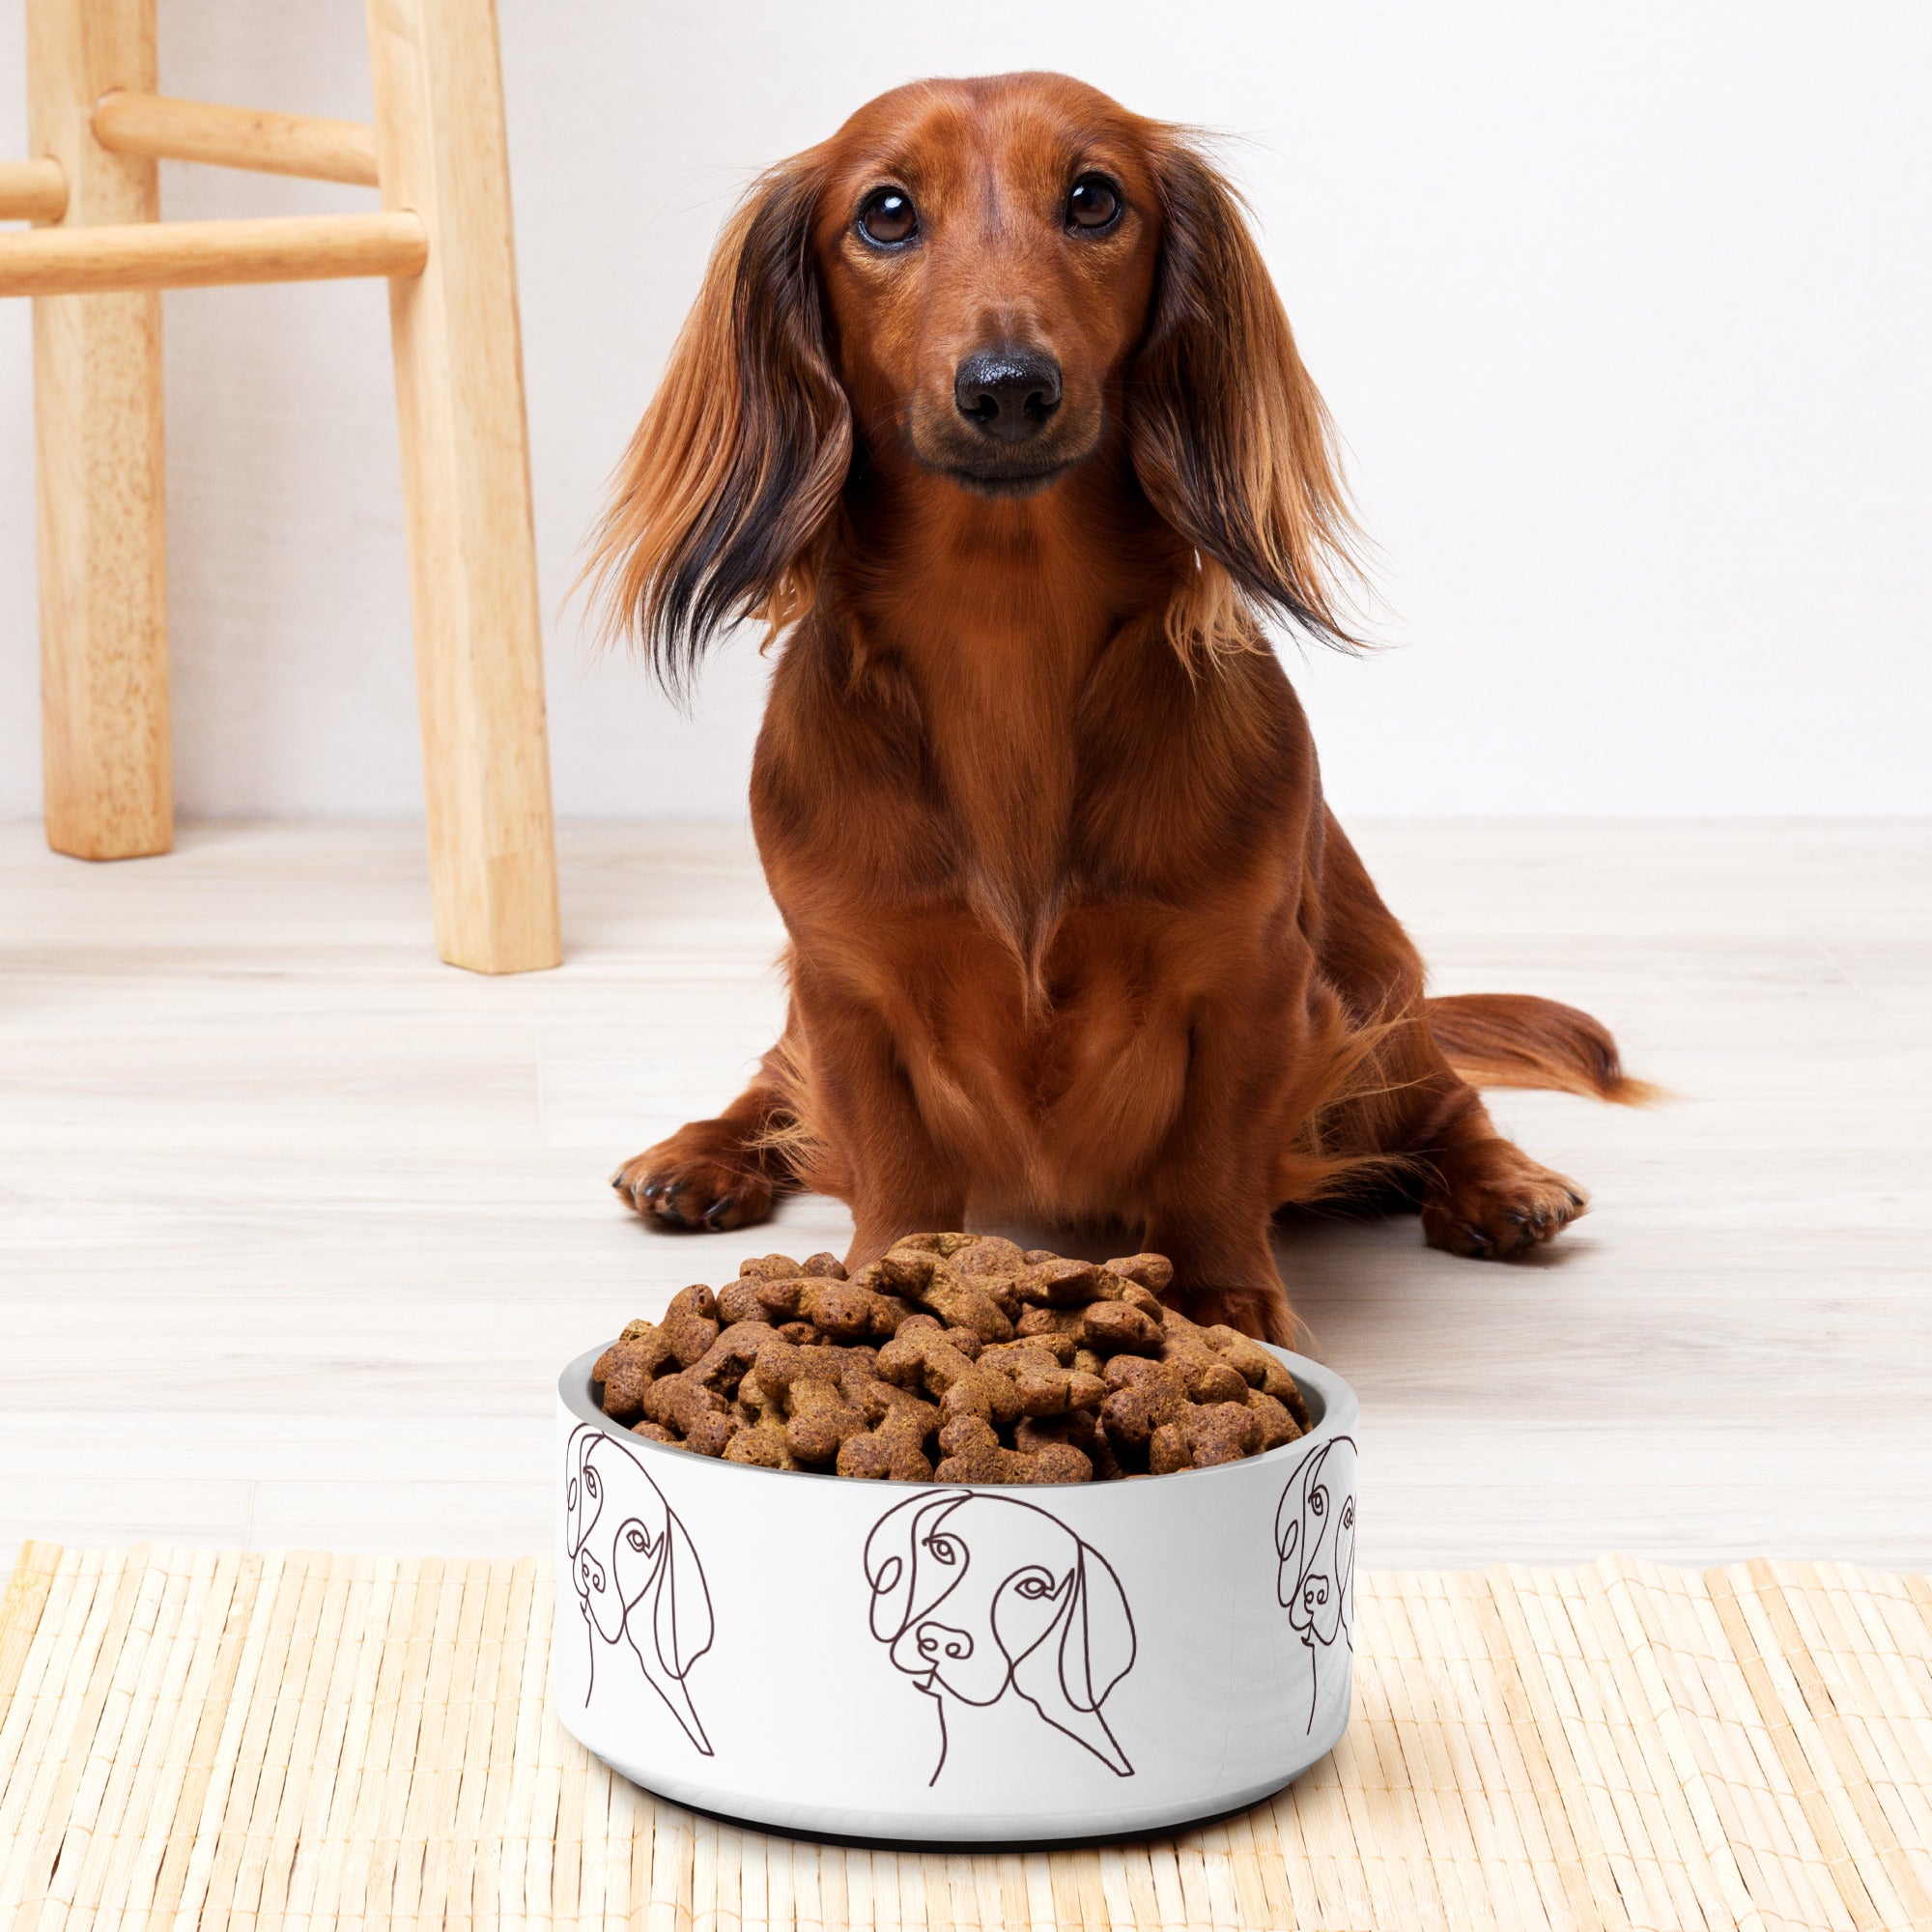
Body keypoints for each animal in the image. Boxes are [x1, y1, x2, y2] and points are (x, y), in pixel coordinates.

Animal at [587, 75, 1646, 1345]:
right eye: (884, 212)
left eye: (1093, 198)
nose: (1007, 387)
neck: (1005, 633)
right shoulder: (845, 982)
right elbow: (888, 1156)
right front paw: (884, 1281)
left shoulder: (1251, 979)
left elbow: (1210, 1158)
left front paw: (1224, 1297)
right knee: (770, 1084)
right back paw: (699, 1154)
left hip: (1374, 995)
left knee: (1446, 1100)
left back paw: (1501, 1184)